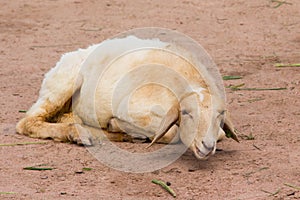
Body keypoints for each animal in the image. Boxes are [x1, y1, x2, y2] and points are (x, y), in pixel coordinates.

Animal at [16, 35, 238, 159]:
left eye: (220, 115)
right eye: (186, 113)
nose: (207, 147)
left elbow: (220, 134)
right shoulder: (132, 109)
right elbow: (173, 133)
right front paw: (118, 125)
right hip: (62, 84)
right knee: (27, 122)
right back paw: (81, 134)